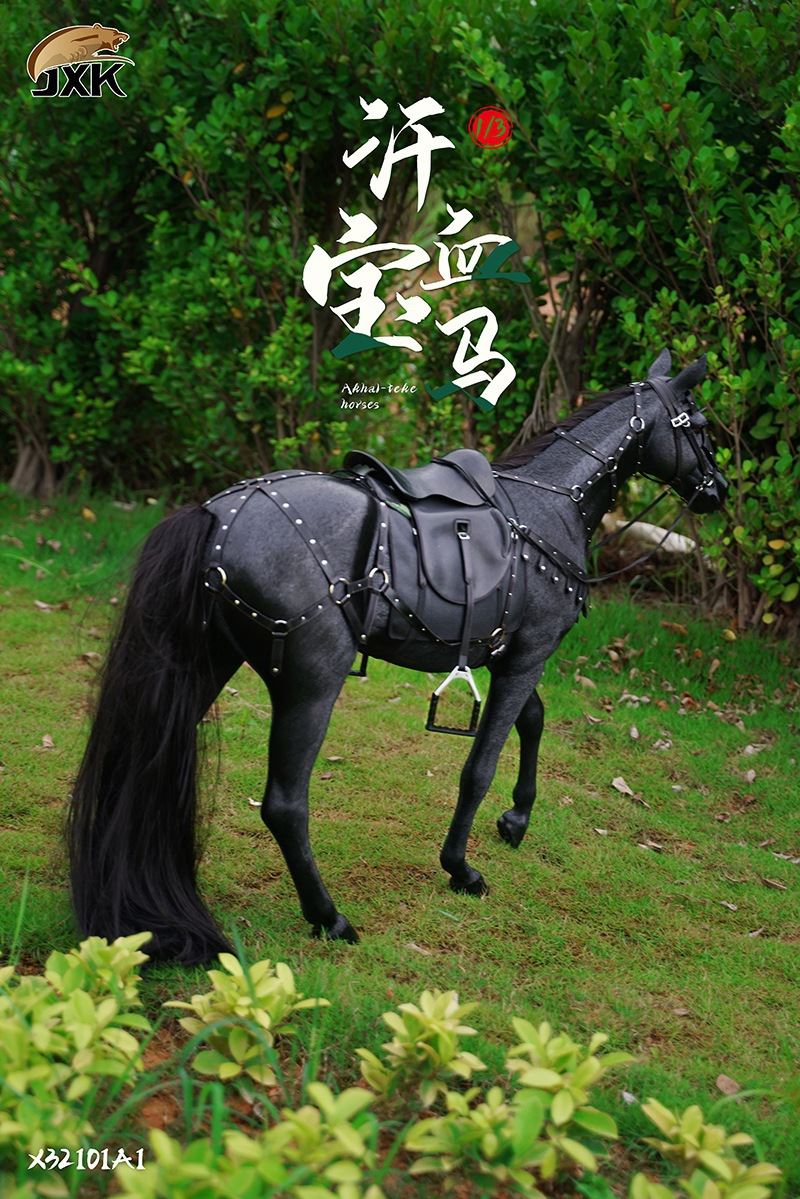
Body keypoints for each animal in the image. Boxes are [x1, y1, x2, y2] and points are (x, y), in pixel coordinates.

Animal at [67, 349, 728, 963]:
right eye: (696, 423)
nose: (718, 491)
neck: (553, 503)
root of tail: (215, 514)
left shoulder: (507, 653)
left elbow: (534, 721)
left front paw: (516, 820)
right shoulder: (529, 653)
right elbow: (480, 765)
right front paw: (460, 867)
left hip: (206, 664)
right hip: (311, 682)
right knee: (284, 806)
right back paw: (328, 916)